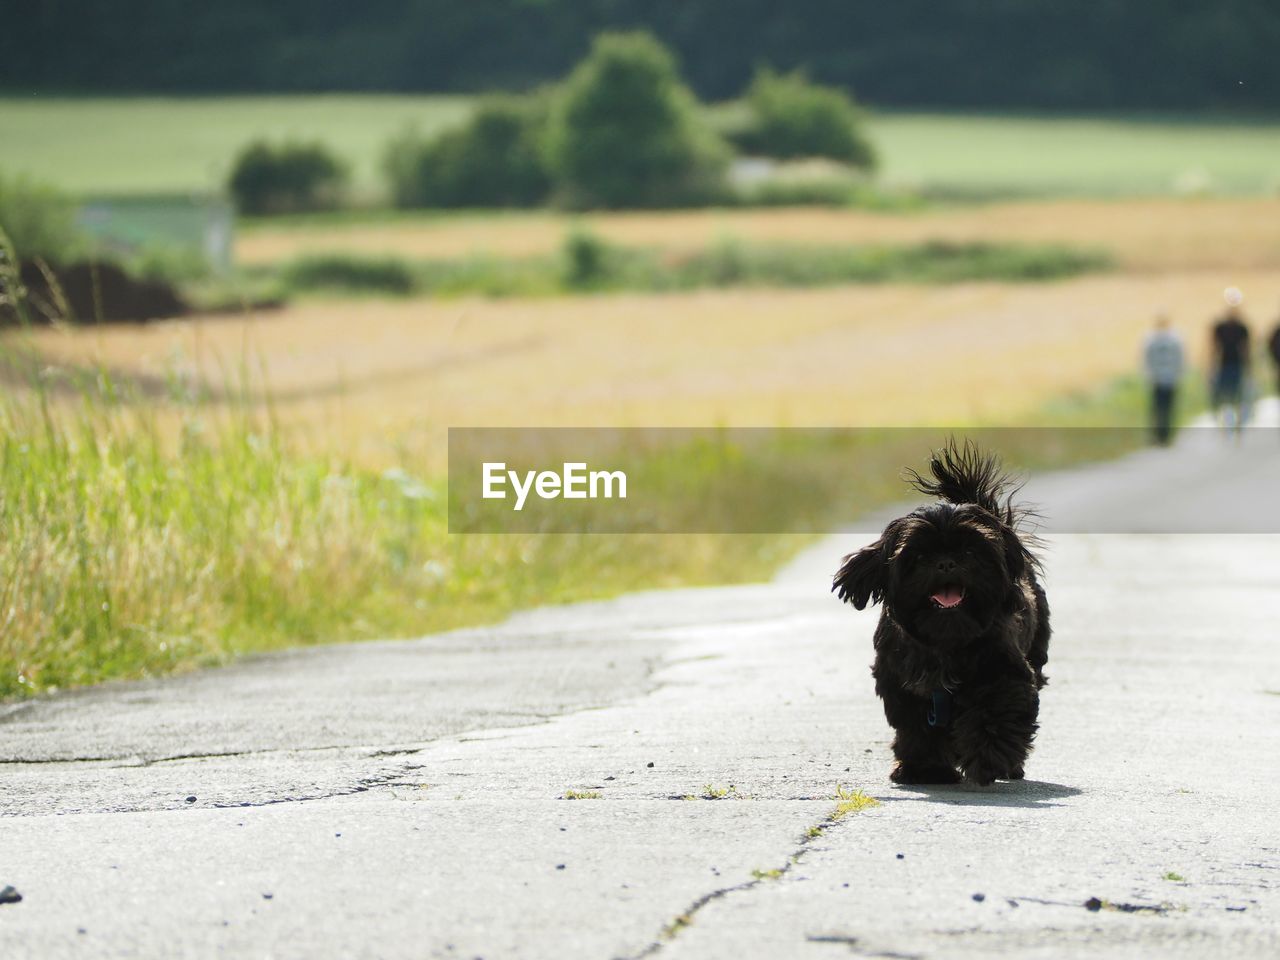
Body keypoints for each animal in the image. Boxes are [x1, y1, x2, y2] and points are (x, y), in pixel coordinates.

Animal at [829, 442, 1049, 788]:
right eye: (919, 556)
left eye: (971, 551)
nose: (946, 562)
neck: (946, 643)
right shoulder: (901, 686)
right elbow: (918, 730)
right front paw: (926, 770)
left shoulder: (1003, 672)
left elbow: (995, 713)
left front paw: (989, 759)